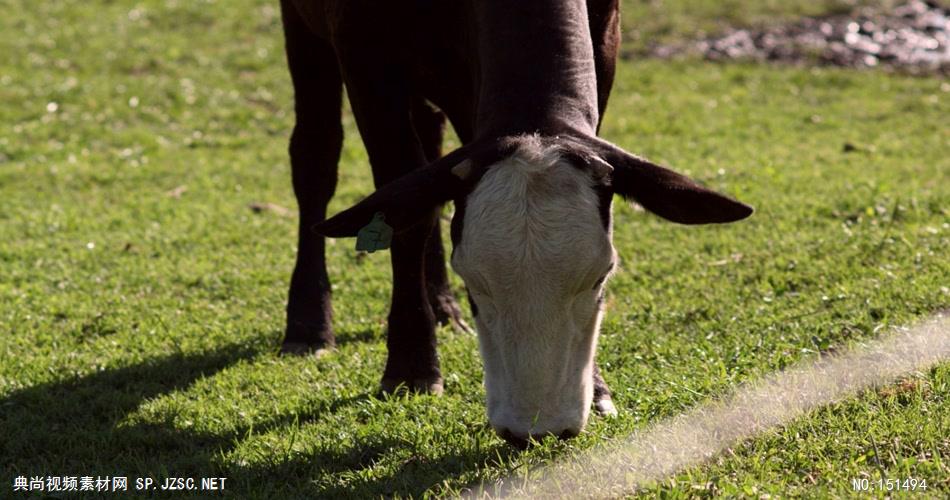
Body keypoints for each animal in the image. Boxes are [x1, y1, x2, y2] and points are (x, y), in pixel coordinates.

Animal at [278, 0, 756, 446]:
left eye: (601, 276)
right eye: (473, 281)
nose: (536, 430)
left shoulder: (606, 35)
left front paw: (598, 388)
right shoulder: (363, 53)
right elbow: (405, 209)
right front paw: (411, 367)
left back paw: (443, 308)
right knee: (317, 156)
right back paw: (308, 326)